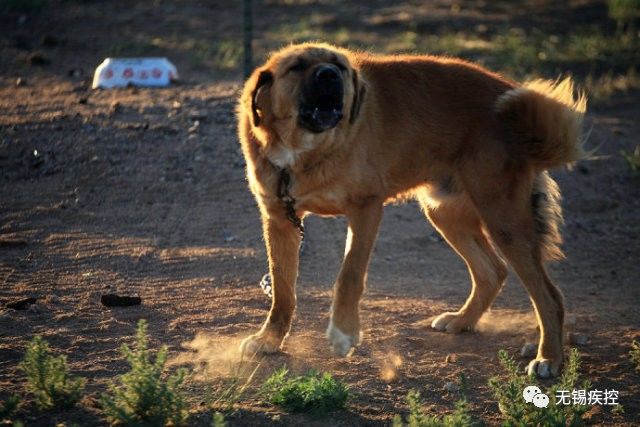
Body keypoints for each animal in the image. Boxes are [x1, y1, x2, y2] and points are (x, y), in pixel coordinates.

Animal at [235, 42, 584, 378]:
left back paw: (548, 357)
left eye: (340, 67)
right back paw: (464, 321)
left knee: (549, 296)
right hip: (444, 213)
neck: (304, 151)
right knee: (492, 272)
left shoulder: (366, 208)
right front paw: (270, 339)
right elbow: (282, 289)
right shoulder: (279, 219)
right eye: (296, 67)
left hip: (502, 217)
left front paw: (343, 333)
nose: (329, 76)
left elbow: (349, 275)